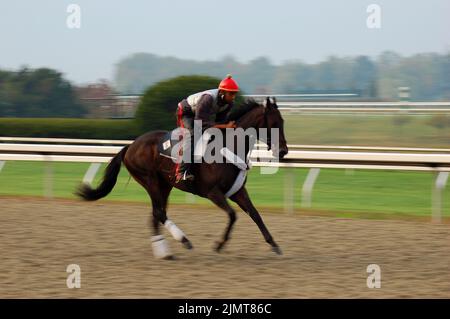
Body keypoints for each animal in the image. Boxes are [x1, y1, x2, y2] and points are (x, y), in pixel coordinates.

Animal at [76, 97, 288, 260]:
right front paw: (219, 244)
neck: (229, 147)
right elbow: (232, 215)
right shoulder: (213, 192)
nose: (284, 151)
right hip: (150, 180)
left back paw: (164, 252)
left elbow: (255, 214)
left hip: (165, 185)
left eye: (283, 122)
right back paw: (184, 240)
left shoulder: (237, 191)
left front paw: (274, 244)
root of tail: (130, 146)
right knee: (159, 213)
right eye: (274, 124)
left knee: (156, 214)